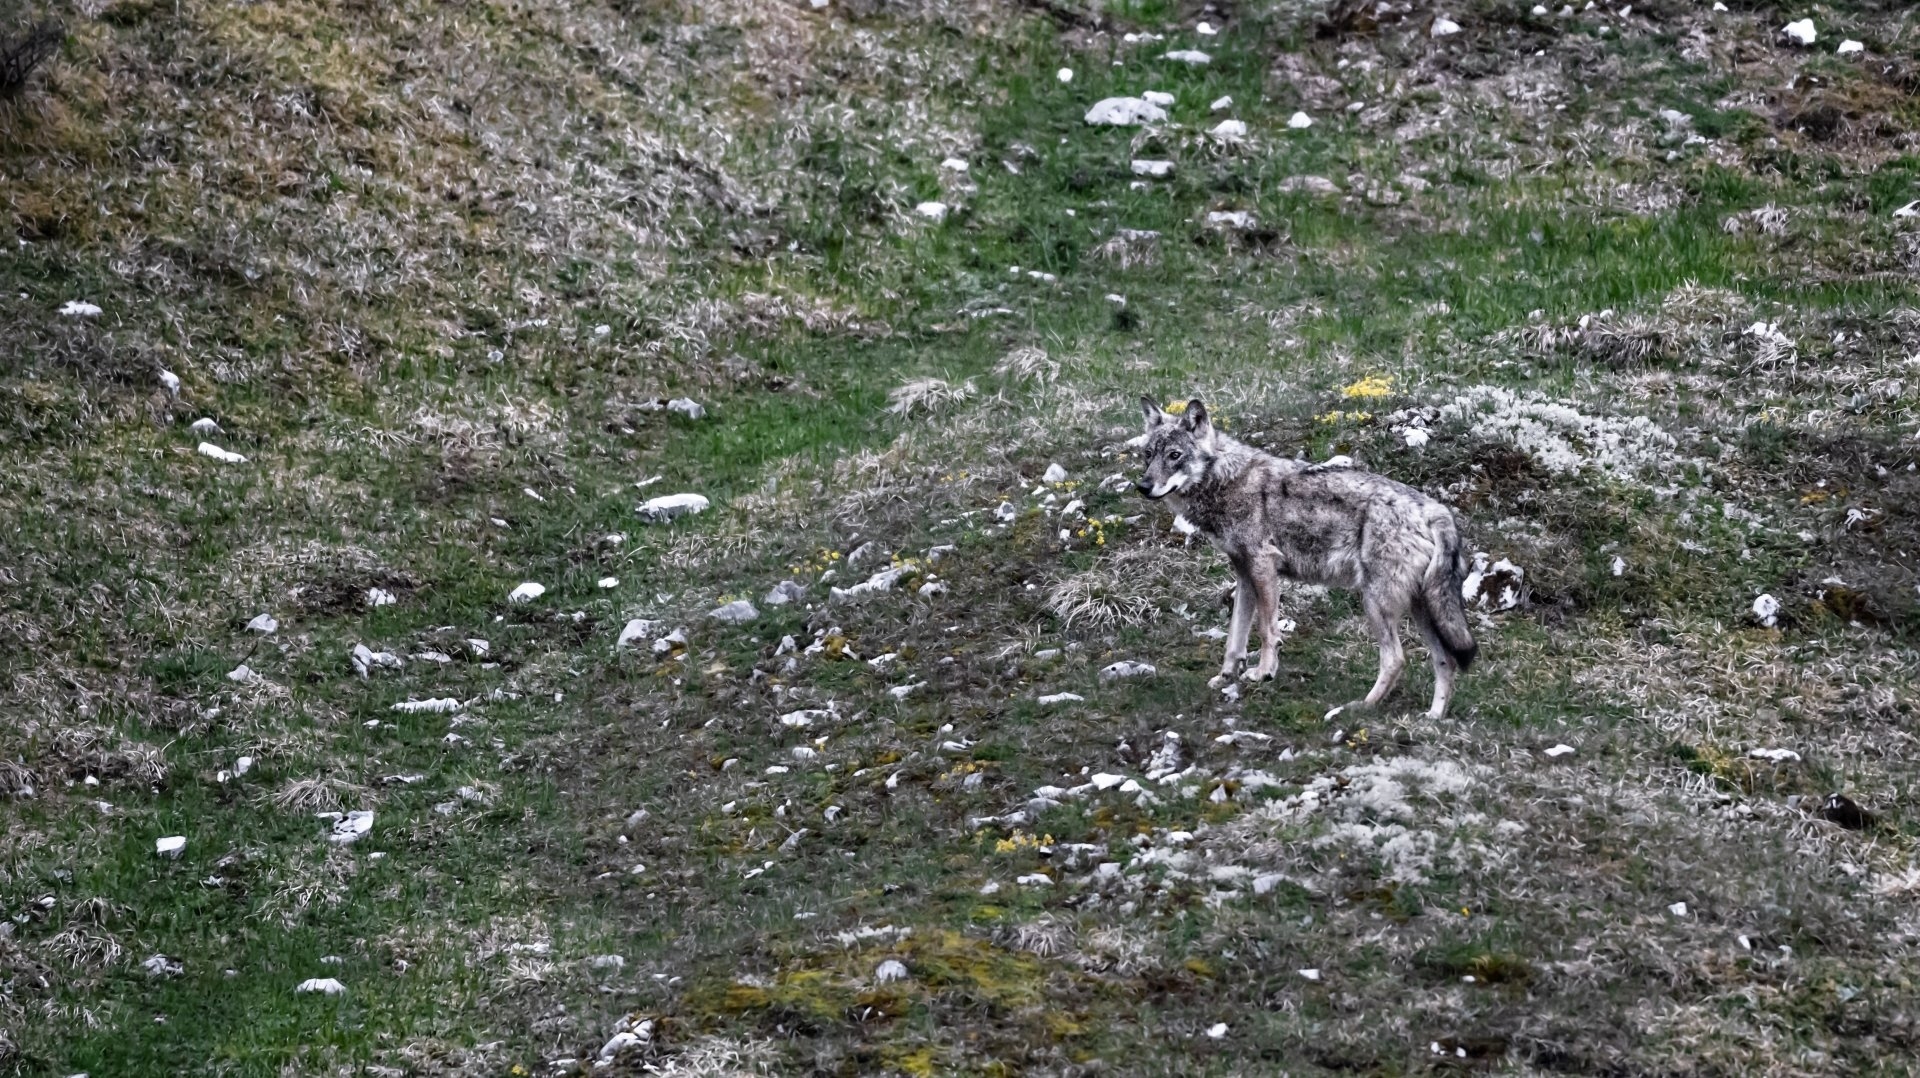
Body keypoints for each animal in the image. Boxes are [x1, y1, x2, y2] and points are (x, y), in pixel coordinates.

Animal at [1128, 397, 1474, 722]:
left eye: (1174, 455)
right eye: (1148, 455)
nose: (1143, 486)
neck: (1226, 480)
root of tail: (1436, 511)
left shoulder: (1263, 566)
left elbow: (1267, 631)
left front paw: (1263, 673)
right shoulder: (1244, 574)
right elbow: (1235, 638)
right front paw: (1226, 677)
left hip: (1376, 603)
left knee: (1396, 660)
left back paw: (1358, 708)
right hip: (1421, 611)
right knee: (1446, 660)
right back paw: (1433, 718)